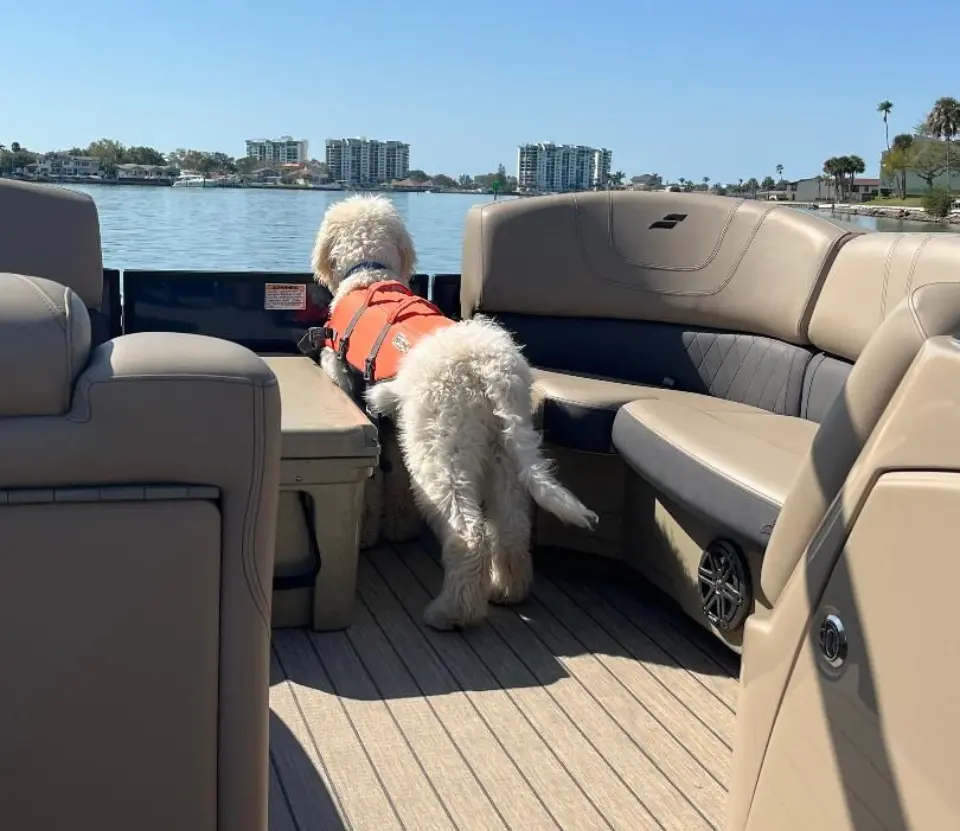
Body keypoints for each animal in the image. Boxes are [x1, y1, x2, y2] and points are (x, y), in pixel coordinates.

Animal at [312, 197, 596, 632]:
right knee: (512, 526)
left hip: (441, 450)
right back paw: (507, 590)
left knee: (469, 532)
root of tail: (488, 367)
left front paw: (370, 533)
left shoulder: (350, 386)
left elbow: (377, 480)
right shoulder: (396, 426)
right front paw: (397, 529)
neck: (369, 272)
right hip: (503, 450)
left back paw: (452, 612)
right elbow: (393, 479)